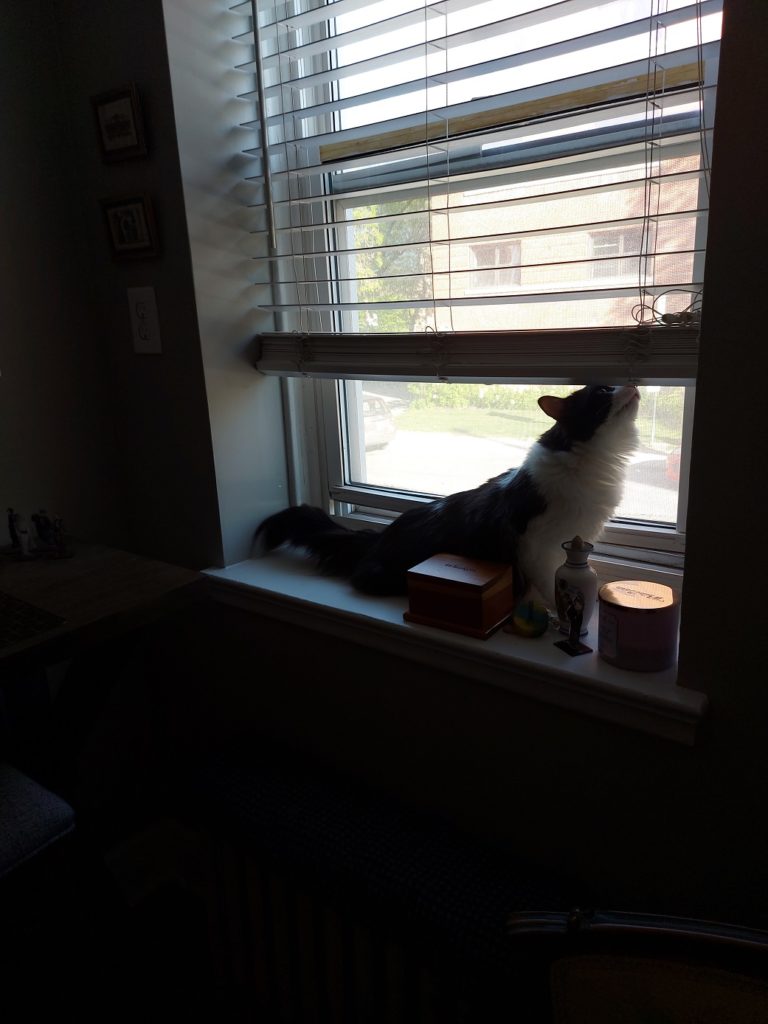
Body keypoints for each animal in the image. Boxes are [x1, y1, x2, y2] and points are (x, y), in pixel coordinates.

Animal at [256, 385, 638, 606]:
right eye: (602, 393)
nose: (631, 383)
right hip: (385, 575)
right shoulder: (537, 547)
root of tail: (378, 537)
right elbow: (549, 586)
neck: (593, 459)